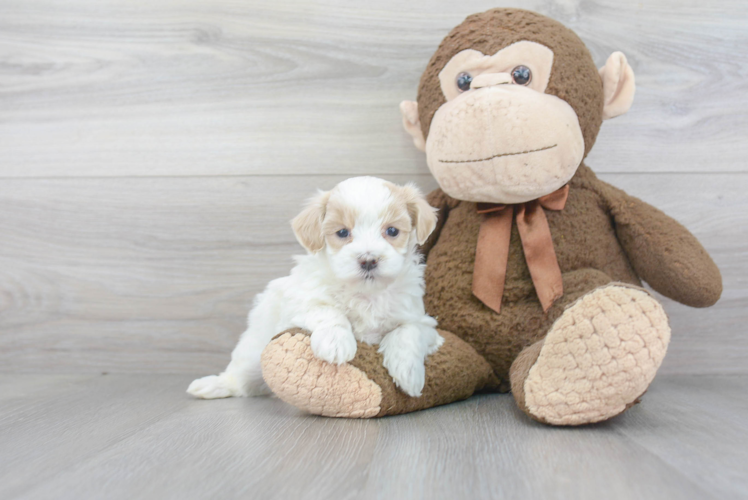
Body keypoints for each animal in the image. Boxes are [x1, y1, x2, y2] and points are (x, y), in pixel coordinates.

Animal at [188, 176, 444, 398]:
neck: (365, 294)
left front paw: (409, 373)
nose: (368, 260)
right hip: (252, 353)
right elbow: (328, 311)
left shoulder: (423, 322)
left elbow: (408, 331)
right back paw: (213, 385)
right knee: (240, 378)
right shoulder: (298, 304)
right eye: (342, 232)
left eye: (392, 231)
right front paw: (336, 344)